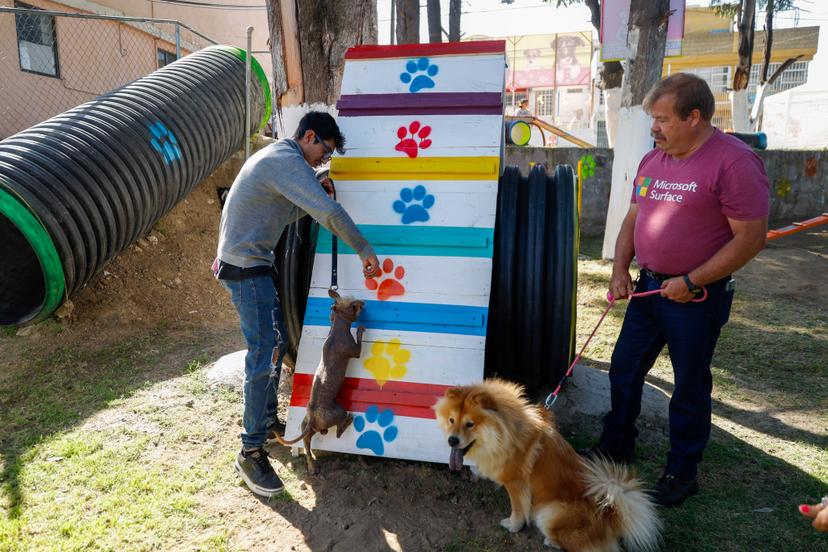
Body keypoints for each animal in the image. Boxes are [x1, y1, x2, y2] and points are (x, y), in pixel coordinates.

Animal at [276, 288, 364, 474]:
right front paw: (360, 329)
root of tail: (313, 420)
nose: (364, 303)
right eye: (354, 305)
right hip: (338, 412)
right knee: (338, 431)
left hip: (305, 428)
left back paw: (311, 467)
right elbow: (359, 341)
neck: (337, 328)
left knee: (308, 450)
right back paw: (349, 419)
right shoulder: (355, 351)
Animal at [434, 380, 660, 552]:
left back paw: (551, 541)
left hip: (548, 513)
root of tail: (608, 513)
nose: (452, 440)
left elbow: (518, 509)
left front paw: (513, 526)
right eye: (452, 420)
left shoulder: (516, 484)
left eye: (470, 424)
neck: (505, 434)